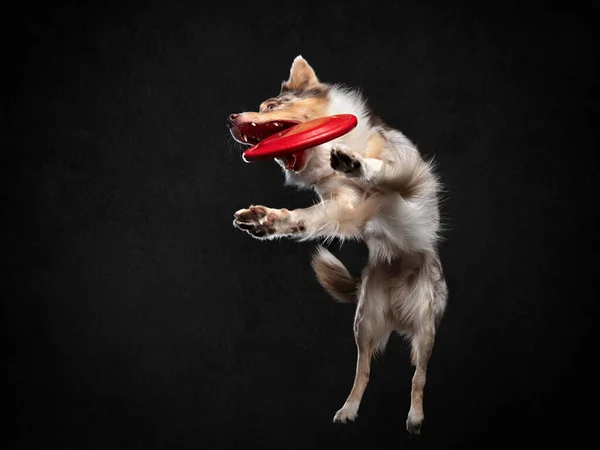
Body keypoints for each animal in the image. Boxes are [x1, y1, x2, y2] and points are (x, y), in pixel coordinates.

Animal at [227, 54, 448, 434]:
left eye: (271, 106)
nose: (230, 120)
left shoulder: (413, 181)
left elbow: (384, 171)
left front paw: (356, 164)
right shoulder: (344, 208)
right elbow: (306, 217)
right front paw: (265, 220)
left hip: (424, 326)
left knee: (418, 376)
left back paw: (416, 417)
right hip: (365, 322)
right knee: (363, 371)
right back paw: (349, 409)